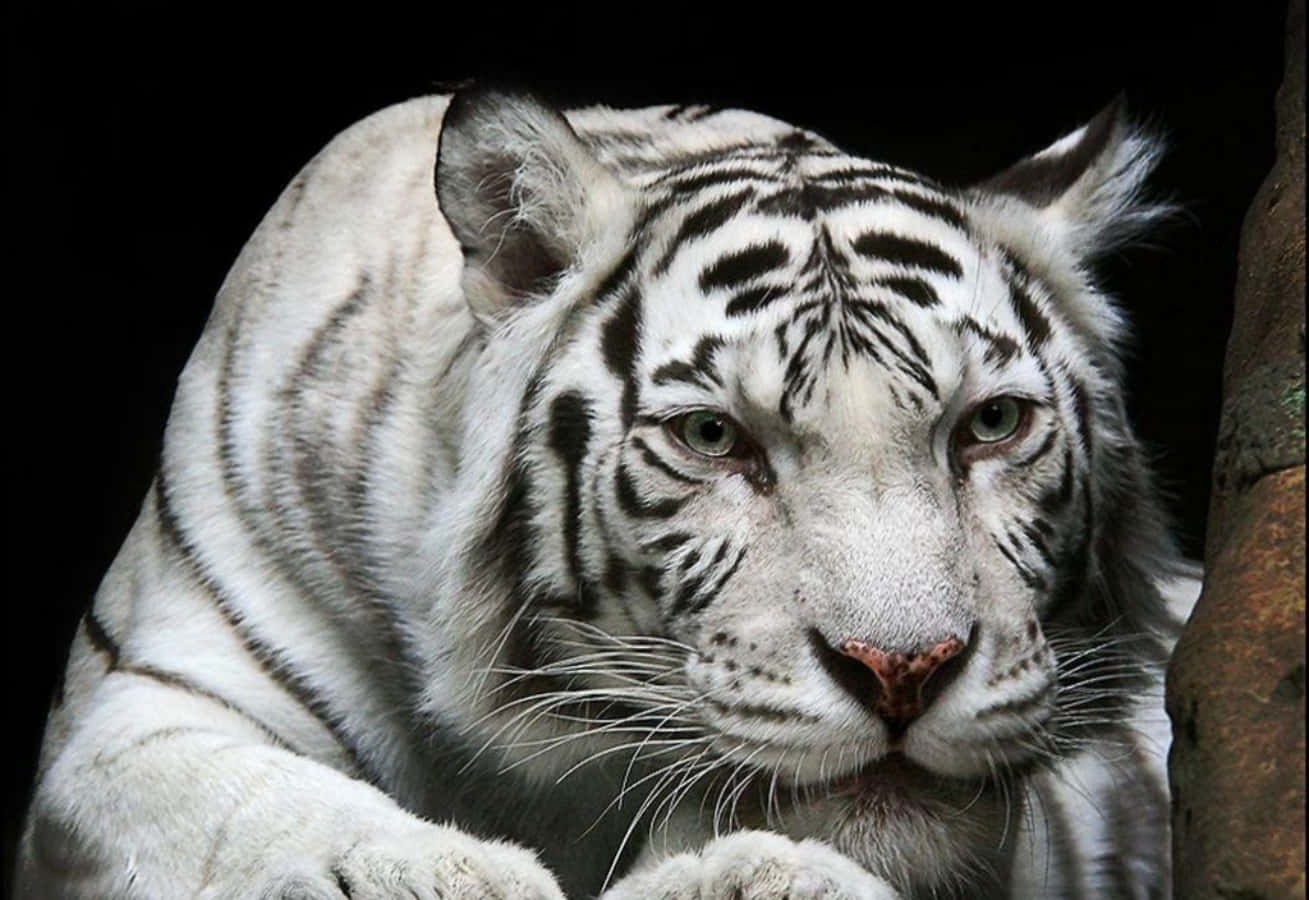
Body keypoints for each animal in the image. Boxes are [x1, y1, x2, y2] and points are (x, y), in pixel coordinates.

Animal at [17, 86, 1200, 899]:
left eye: (989, 425)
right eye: (713, 436)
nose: (903, 672)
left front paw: (746, 875)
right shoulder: (146, 703)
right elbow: (247, 803)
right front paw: (441, 873)